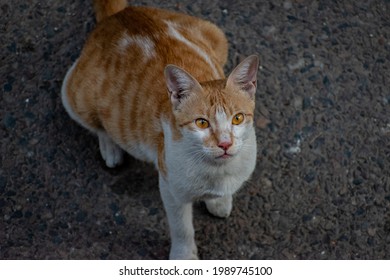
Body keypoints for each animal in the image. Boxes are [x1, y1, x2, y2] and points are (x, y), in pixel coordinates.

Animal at [62, 0, 258, 260]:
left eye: (237, 118)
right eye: (201, 123)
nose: (225, 143)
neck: (218, 170)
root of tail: (123, 14)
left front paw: (219, 201)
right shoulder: (170, 188)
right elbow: (182, 227)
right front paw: (184, 255)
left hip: (217, 34)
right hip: (72, 94)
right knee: (99, 126)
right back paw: (110, 146)